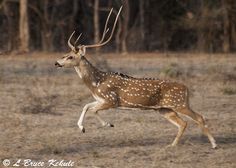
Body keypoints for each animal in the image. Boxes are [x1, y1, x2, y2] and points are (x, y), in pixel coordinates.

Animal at [55, 6, 218, 148]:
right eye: (65, 54)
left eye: (70, 57)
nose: (56, 63)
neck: (96, 83)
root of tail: (187, 89)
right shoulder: (101, 99)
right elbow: (86, 106)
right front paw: (82, 128)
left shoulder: (111, 100)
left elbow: (93, 110)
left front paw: (108, 124)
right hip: (164, 109)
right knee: (183, 123)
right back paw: (172, 145)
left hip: (180, 104)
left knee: (199, 117)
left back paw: (214, 144)